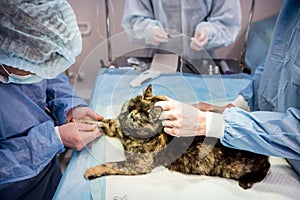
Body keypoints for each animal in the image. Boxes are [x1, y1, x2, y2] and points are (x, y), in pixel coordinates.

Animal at [83, 84, 270, 189]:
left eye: (134, 118)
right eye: (126, 108)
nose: (123, 117)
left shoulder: (138, 164)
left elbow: (110, 164)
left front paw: (90, 171)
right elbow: (107, 124)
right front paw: (88, 123)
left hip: (236, 167)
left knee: (266, 167)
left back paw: (246, 182)